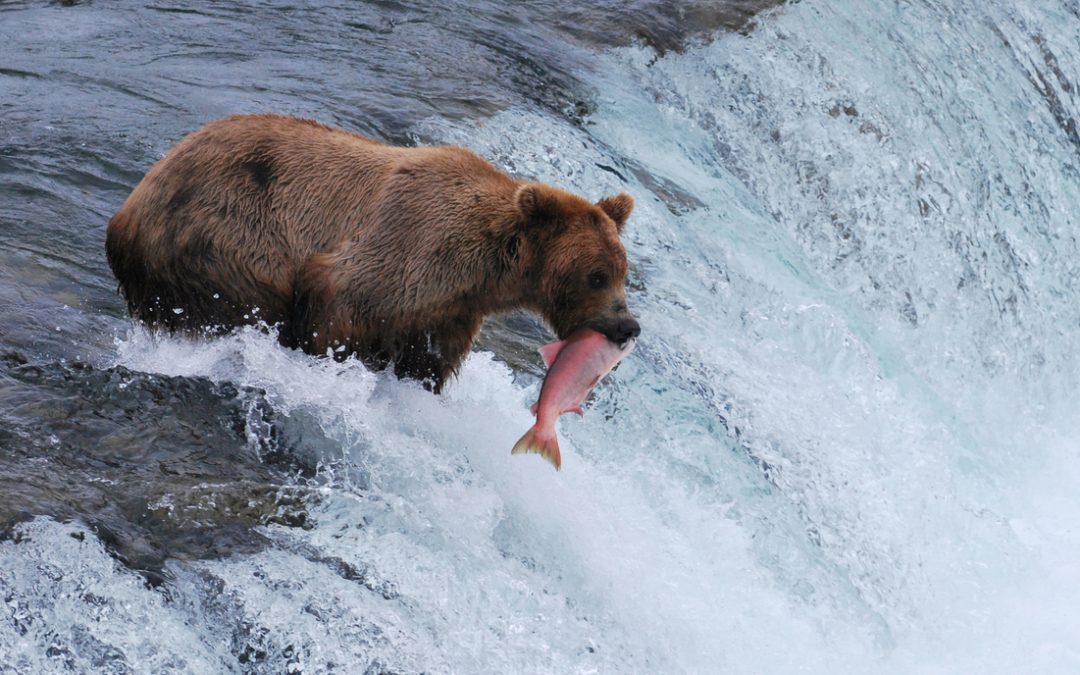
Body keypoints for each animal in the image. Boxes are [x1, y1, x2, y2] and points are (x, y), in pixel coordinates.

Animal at [106, 114, 640, 392]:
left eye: (622, 273)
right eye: (596, 275)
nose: (627, 326)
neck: (488, 270)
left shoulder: (449, 310)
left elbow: (430, 359)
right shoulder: (407, 248)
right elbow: (339, 309)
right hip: (224, 236)